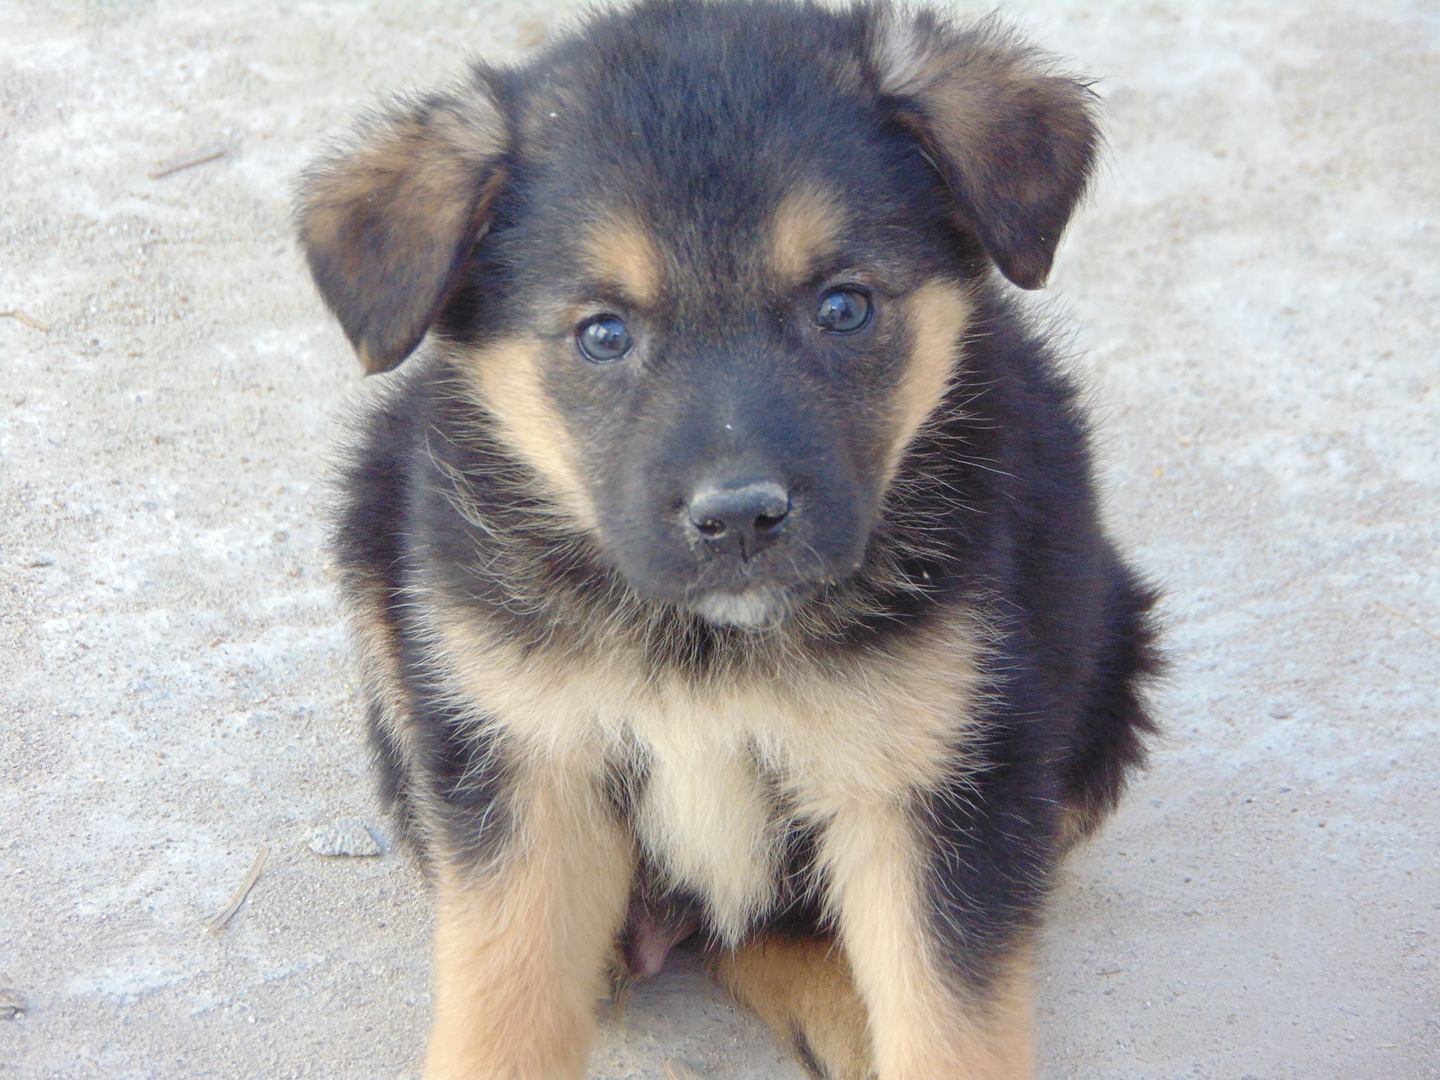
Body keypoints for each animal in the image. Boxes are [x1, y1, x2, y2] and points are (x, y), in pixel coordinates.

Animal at [296, 1, 1160, 1076]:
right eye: (603, 333)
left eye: (843, 306)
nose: (741, 516)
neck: (708, 646)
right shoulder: (526, 764)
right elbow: (505, 1006)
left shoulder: (938, 786)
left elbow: (949, 1023)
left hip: (1106, 674)